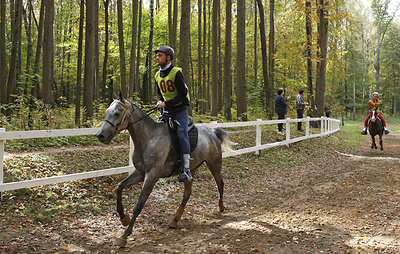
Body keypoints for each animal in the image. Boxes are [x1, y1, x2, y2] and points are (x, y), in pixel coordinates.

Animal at [95, 92, 233, 247]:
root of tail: (213, 132)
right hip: (191, 170)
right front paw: (123, 218)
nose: (100, 135)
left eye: (117, 113)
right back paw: (175, 219)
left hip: (214, 164)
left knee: (220, 184)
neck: (149, 138)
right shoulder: (140, 173)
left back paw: (221, 209)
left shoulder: (151, 176)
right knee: (187, 193)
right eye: (107, 111)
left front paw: (124, 235)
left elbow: (139, 204)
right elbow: (119, 187)